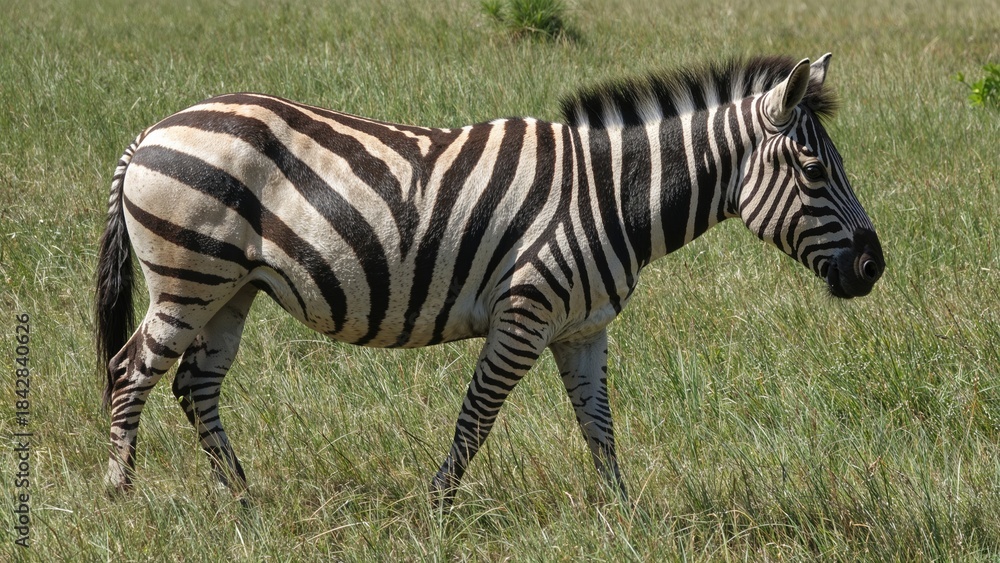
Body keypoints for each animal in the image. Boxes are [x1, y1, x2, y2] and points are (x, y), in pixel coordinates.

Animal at [95, 53, 883, 503]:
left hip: (231, 290)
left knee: (195, 385)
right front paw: (437, 509)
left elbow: (600, 428)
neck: (611, 194)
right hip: (187, 276)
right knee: (130, 369)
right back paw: (121, 496)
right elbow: (476, 417)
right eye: (814, 169)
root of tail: (151, 131)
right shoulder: (524, 313)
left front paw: (622, 517)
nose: (874, 266)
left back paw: (241, 498)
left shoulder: (583, 329)